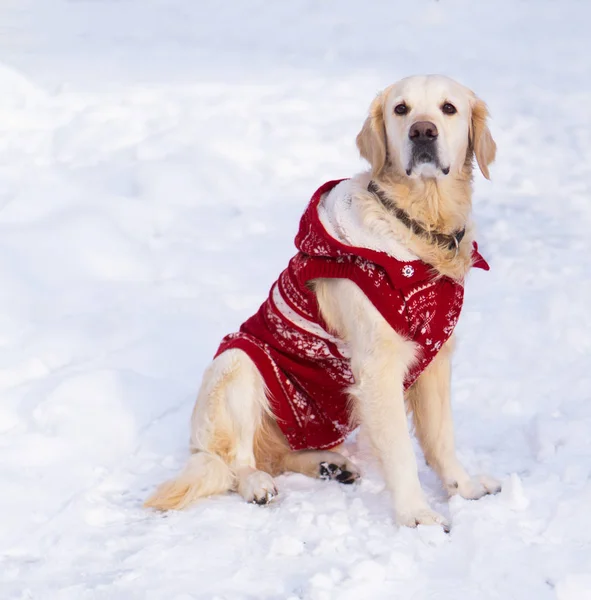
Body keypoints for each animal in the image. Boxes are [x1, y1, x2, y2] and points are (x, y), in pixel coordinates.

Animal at [146, 75, 502, 528]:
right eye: (401, 109)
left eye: (449, 108)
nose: (423, 132)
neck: (417, 227)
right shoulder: (378, 366)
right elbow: (402, 452)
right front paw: (418, 515)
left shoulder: (435, 356)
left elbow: (442, 438)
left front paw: (465, 488)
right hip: (237, 364)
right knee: (234, 462)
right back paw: (257, 484)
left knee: (280, 455)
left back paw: (330, 465)